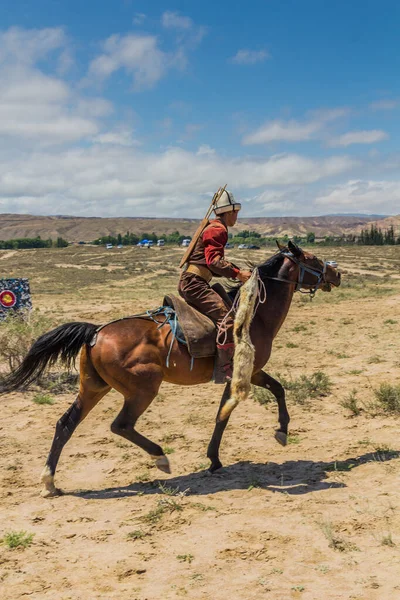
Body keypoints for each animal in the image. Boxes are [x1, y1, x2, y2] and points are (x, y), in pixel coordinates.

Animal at [2, 240, 340, 496]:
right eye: (312, 258)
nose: (336, 273)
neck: (256, 313)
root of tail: (96, 332)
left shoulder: (242, 375)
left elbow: (248, 403)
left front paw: (223, 455)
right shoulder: (246, 372)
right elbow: (241, 407)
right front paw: (277, 432)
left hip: (94, 388)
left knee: (65, 424)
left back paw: (50, 482)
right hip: (143, 389)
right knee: (120, 425)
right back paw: (160, 458)